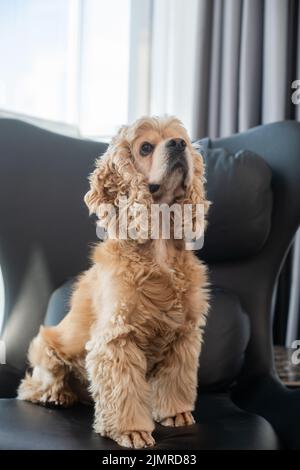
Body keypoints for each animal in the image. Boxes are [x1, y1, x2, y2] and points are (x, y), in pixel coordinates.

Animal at [18, 114, 209, 448]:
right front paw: (131, 431)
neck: (158, 247)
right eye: (145, 147)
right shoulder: (117, 337)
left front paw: (176, 413)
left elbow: (177, 378)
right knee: (33, 385)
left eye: (183, 139)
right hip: (46, 347)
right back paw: (58, 395)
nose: (178, 144)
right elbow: (124, 390)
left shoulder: (183, 333)